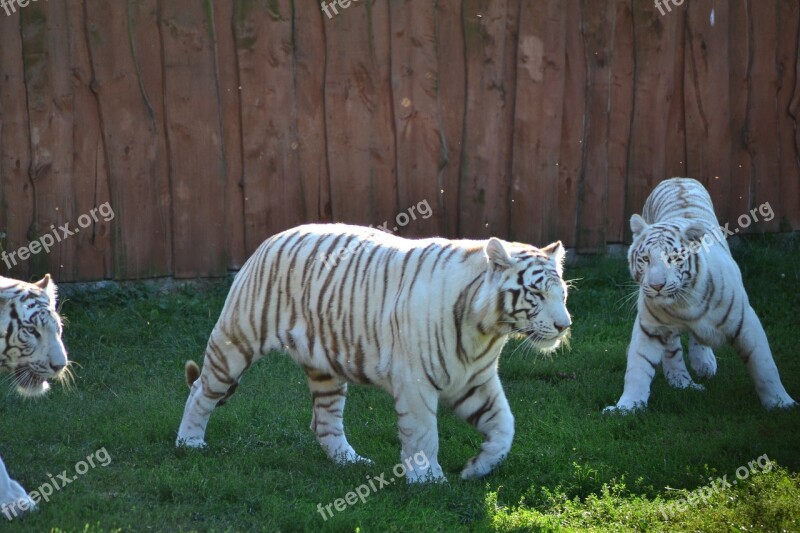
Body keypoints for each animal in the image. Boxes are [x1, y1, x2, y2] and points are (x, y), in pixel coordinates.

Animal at [178, 222, 572, 480]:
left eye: (562, 293)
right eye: (536, 293)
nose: (564, 326)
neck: (486, 331)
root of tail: (271, 238)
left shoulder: (475, 380)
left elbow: (505, 425)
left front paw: (477, 468)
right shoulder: (416, 382)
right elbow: (423, 434)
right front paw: (429, 480)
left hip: (326, 370)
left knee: (324, 421)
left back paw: (350, 461)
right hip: (236, 340)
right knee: (201, 390)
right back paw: (190, 442)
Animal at [608, 178, 792, 412]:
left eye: (673, 258)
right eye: (645, 259)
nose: (656, 285)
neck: (683, 304)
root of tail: (677, 179)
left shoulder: (745, 321)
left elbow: (764, 365)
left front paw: (780, 403)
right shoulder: (649, 327)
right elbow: (637, 368)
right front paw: (627, 407)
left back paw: (703, 365)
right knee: (673, 352)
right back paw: (683, 383)